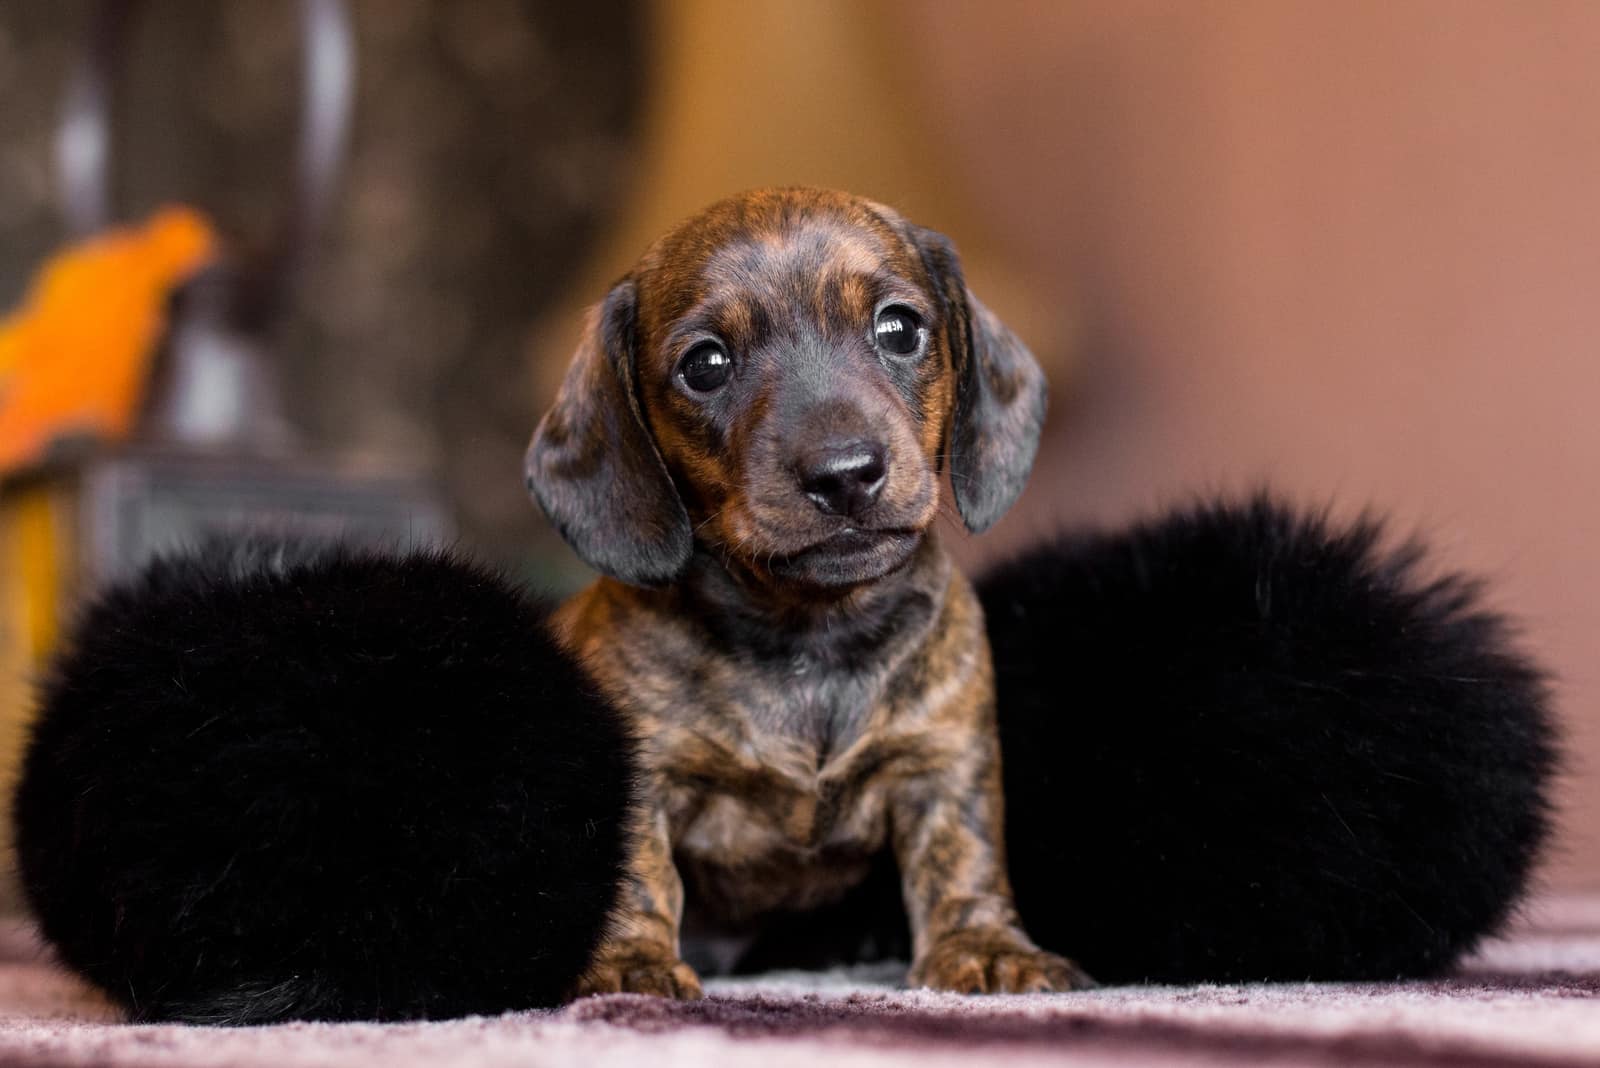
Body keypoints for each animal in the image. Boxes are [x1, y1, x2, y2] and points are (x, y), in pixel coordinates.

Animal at [524, 187, 1088, 997]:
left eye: (899, 327)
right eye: (705, 365)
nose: (845, 474)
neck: (813, 634)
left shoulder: (942, 762)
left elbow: (963, 854)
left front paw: (984, 944)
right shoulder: (646, 774)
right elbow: (638, 871)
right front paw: (632, 960)